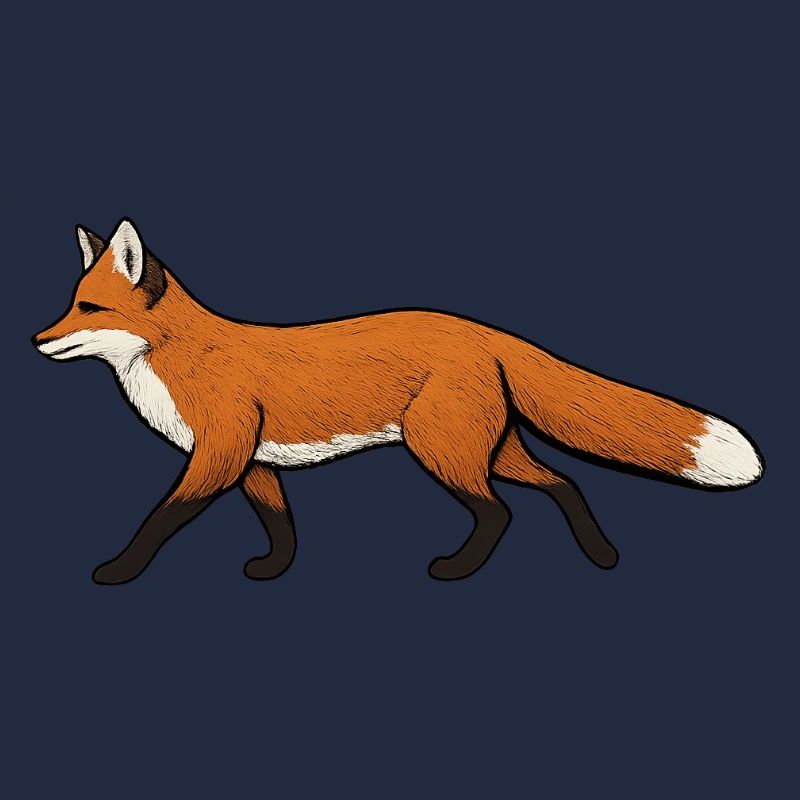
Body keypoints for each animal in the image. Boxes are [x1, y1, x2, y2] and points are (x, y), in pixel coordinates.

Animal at [33, 218, 764, 585]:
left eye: (88, 309)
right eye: (70, 304)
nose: (36, 340)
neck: (179, 359)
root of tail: (480, 329)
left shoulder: (219, 452)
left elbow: (159, 520)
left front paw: (118, 571)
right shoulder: (254, 461)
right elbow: (280, 523)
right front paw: (273, 570)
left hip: (440, 449)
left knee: (499, 513)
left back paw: (458, 570)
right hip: (487, 448)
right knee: (563, 483)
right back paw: (602, 556)